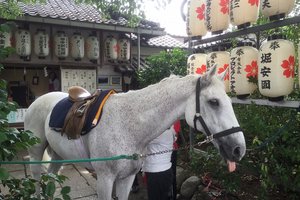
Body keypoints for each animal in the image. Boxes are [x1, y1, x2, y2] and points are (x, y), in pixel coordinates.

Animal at [24, 66, 246, 199]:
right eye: (214, 102)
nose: (239, 149)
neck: (128, 124)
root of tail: (39, 100)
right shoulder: (105, 180)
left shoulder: (127, 178)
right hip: (36, 151)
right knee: (37, 177)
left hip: (59, 154)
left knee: (51, 176)